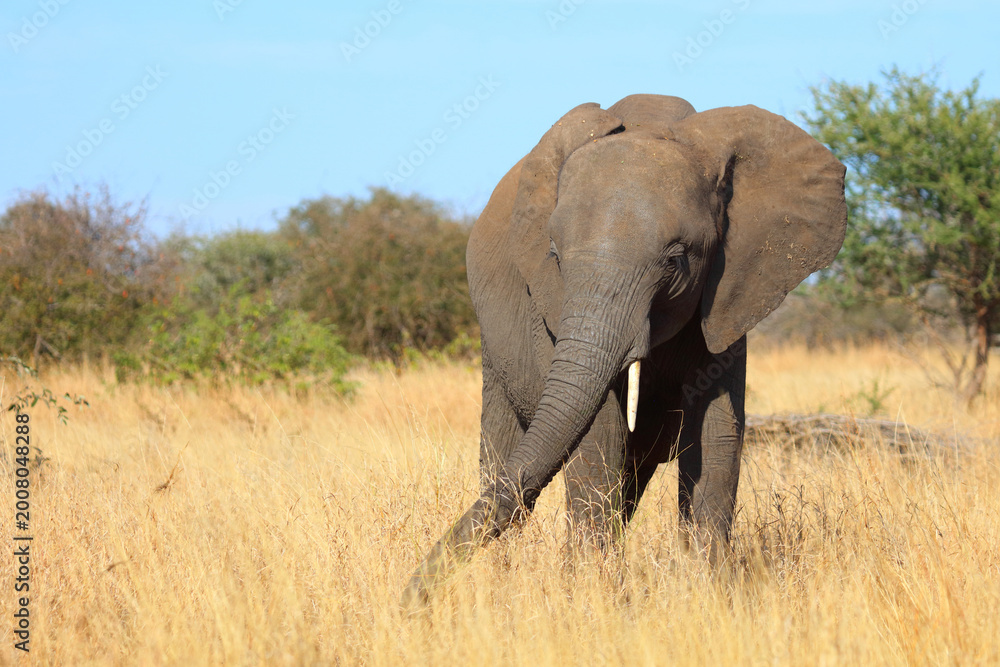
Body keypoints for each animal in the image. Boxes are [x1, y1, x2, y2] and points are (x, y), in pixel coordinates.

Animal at [402, 94, 846, 608]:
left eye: (676, 260)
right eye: (554, 255)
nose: (408, 597)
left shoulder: (730, 293)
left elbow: (716, 428)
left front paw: (709, 594)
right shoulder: (547, 307)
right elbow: (599, 432)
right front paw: (593, 598)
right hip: (494, 347)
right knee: (509, 457)